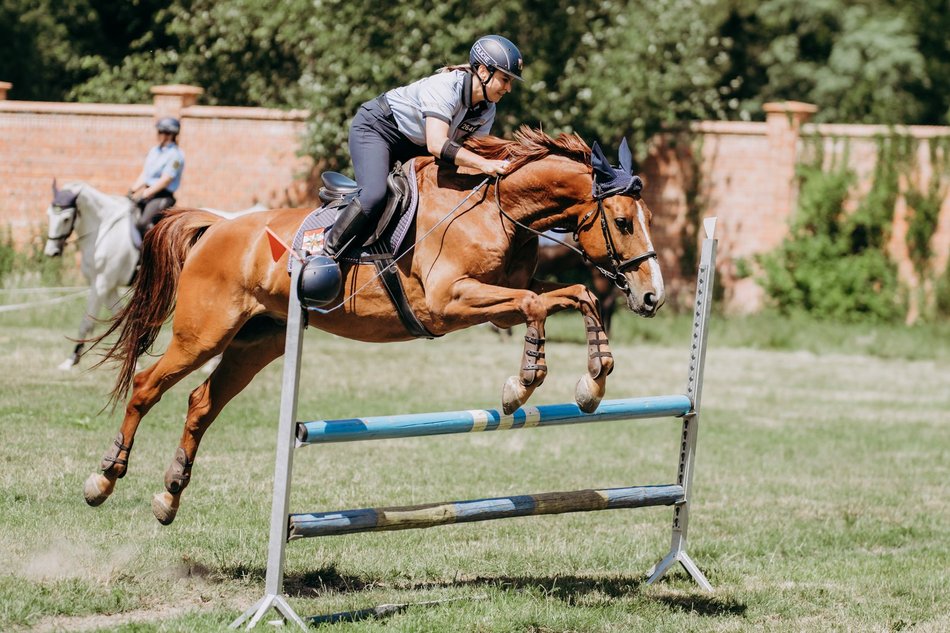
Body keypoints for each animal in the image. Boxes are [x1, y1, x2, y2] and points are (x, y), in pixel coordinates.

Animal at [43, 181, 268, 370]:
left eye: (65, 218)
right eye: (49, 215)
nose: (51, 252)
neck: (104, 230)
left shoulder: (102, 283)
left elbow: (88, 322)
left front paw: (72, 360)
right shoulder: (106, 286)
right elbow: (119, 318)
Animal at [83, 127, 668, 524]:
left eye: (646, 220)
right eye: (622, 222)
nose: (651, 296)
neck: (497, 208)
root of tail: (218, 227)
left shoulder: (496, 302)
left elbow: (569, 296)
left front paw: (593, 380)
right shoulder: (449, 303)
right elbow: (535, 305)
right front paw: (523, 383)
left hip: (258, 342)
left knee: (201, 403)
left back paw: (169, 494)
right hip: (202, 333)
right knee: (147, 386)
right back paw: (103, 478)